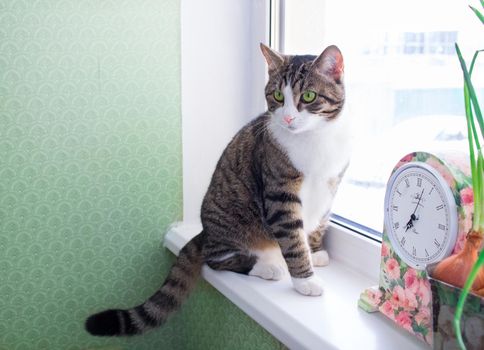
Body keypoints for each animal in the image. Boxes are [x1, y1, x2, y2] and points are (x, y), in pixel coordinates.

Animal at [86, 43, 352, 336]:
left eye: (308, 95)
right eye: (278, 96)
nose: (288, 118)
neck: (315, 140)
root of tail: (205, 232)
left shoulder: (331, 186)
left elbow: (317, 225)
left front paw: (314, 253)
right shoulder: (279, 191)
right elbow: (292, 237)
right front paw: (305, 280)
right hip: (232, 221)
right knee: (217, 259)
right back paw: (267, 267)